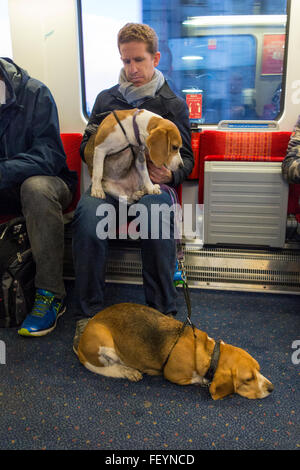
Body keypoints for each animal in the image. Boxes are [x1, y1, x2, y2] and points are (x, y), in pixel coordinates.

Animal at [73, 302, 274, 398]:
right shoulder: (173, 375)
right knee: (107, 368)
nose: (271, 388)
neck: (211, 354)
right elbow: (198, 379)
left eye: (259, 369)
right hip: (103, 343)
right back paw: (128, 371)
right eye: (248, 379)